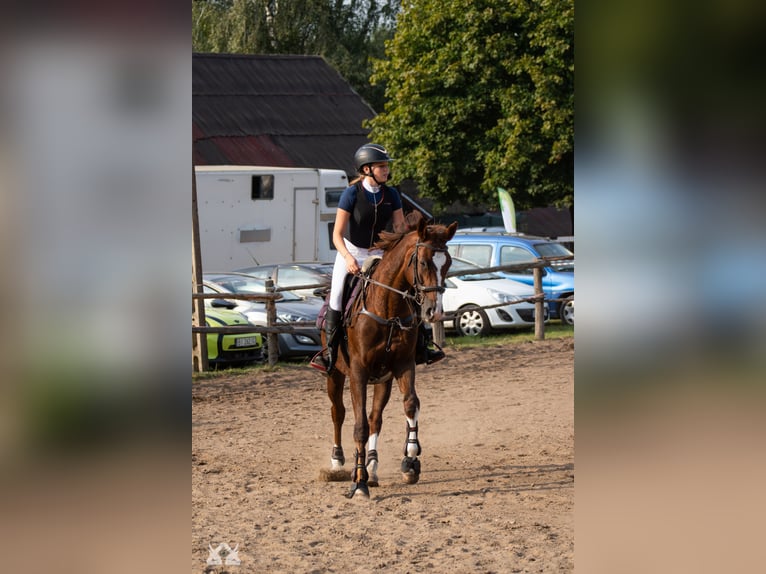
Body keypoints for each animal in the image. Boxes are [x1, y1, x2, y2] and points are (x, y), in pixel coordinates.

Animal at [322, 216, 460, 500]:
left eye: (448, 263)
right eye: (423, 262)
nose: (434, 311)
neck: (388, 309)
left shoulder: (402, 365)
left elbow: (410, 404)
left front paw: (411, 459)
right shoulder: (358, 373)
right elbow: (359, 426)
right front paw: (358, 482)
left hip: (382, 379)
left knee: (376, 418)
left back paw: (373, 466)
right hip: (335, 374)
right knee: (338, 412)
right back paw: (338, 461)